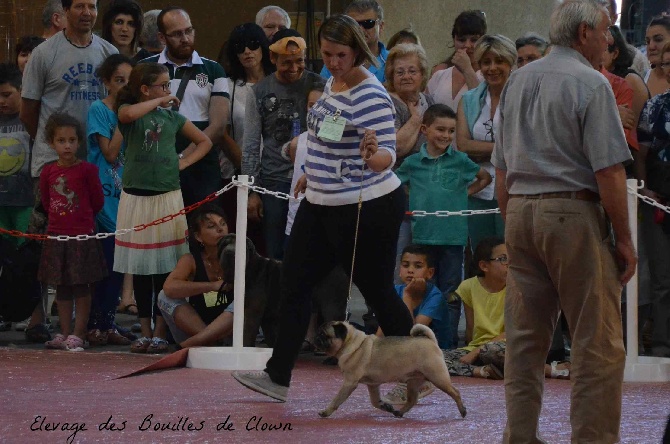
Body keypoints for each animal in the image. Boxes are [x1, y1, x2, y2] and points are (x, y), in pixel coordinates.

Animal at [316, 320, 468, 418]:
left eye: (324, 335)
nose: (315, 337)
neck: (351, 343)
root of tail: (430, 341)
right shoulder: (373, 385)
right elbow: (375, 402)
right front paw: (386, 406)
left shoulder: (349, 383)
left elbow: (337, 400)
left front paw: (326, 412)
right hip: (413, 382)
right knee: (412, 400)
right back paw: (399, 412)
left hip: (438, 377)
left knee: (456, 392)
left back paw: (463, 411)